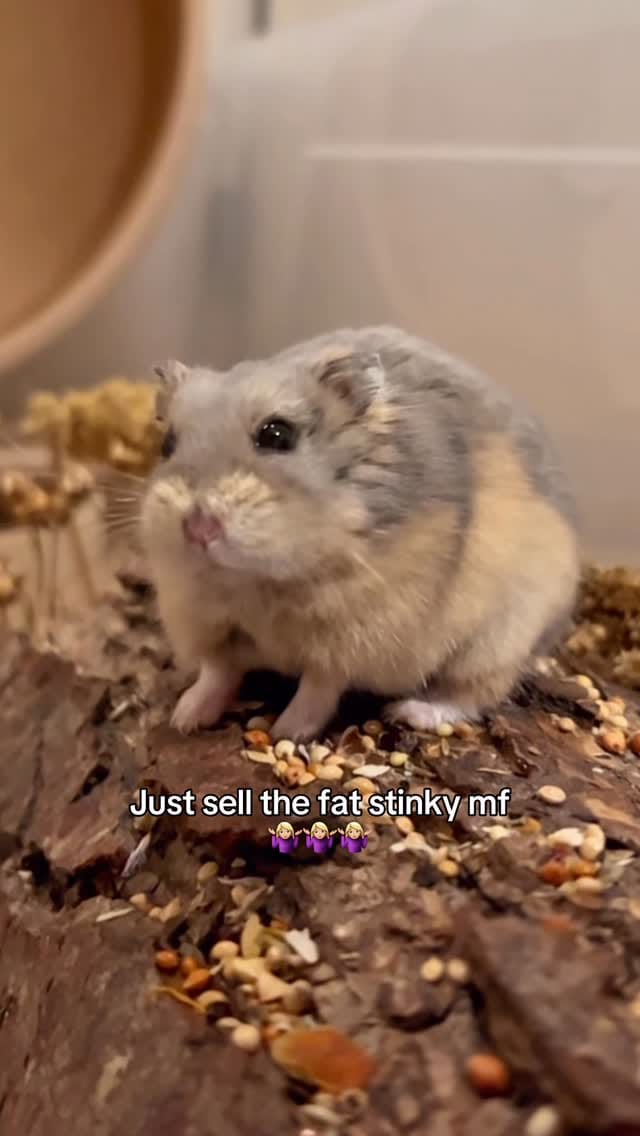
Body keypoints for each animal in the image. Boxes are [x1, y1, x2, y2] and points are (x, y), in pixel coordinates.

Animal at [141, 327, 579, 741]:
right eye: (167, 444)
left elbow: (318, 688)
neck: (256, 582)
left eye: (276, 435)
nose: (198, 529)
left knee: (472, 694)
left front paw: (286, 731)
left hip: (496, 643)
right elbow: (217, 671)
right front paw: (183, 718)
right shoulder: (205, 622)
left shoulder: (353, 640)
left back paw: (409, 711)